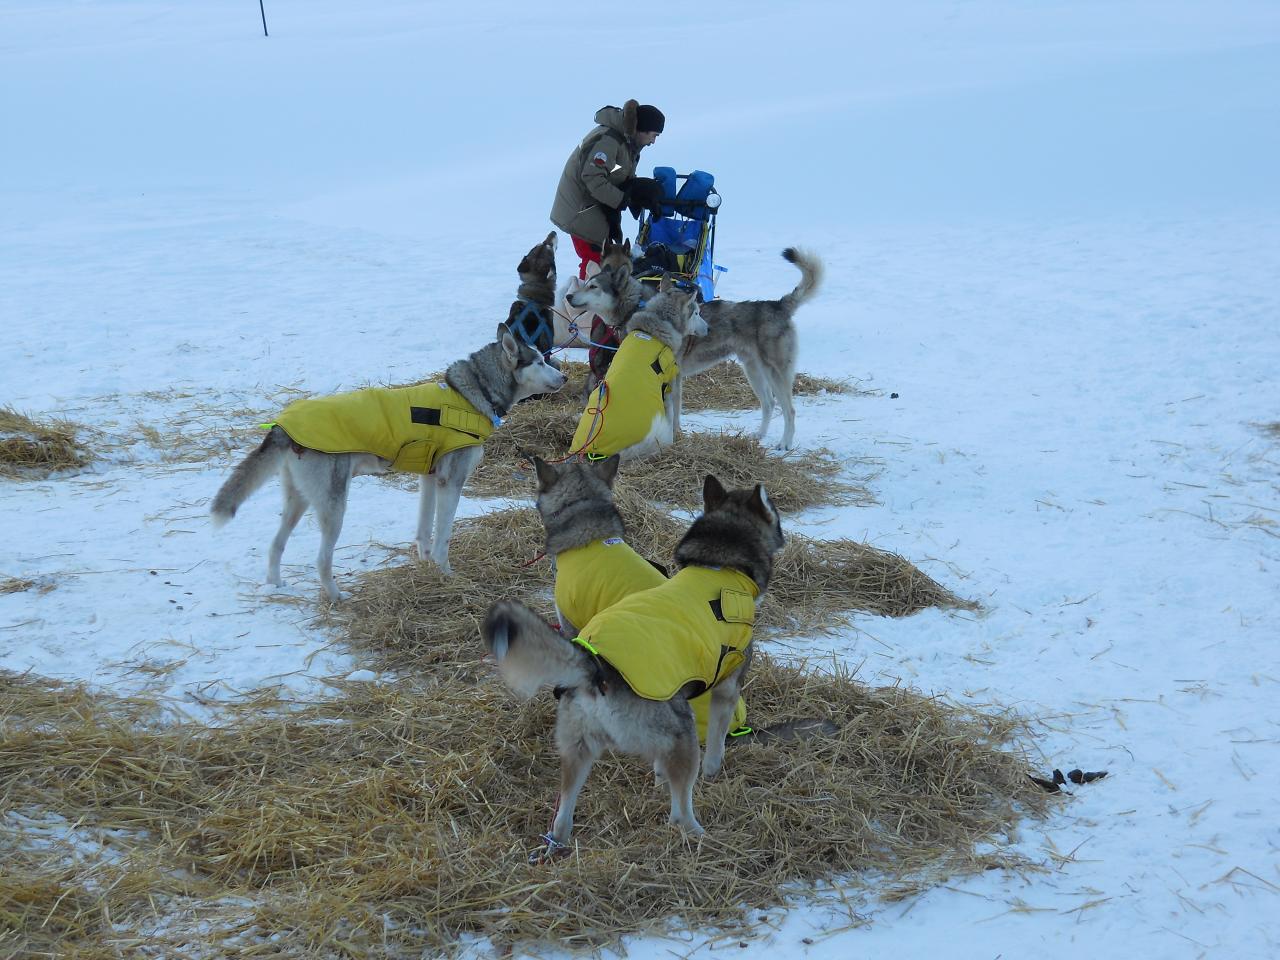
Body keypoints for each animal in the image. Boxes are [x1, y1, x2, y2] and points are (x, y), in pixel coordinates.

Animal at [211, 323, 565, 601]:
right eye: (539, 361)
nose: (562, 376)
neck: (471, 393)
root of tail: (283, 423)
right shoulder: (451, 482)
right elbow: (443, 538)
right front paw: (447, 576)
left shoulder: (429, 478)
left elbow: (424, 532)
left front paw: (425, 567)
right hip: (333, 507)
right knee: (322, 560)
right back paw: (337, 596)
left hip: (298, 500)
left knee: (275, 545)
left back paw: (275, 586)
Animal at [481, 476, 783, 849]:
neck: (720, 566)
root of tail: (596, 666)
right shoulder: (726, 689)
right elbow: (716, 745)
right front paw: (714, 772)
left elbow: (659, 769)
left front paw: (657, 781)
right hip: (682, 737)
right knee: (680, 812)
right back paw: (701, 835)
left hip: (578, 750)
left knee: (563, 816)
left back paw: (560, 841)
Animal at [570, 273, 711, 463]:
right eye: (696, 313)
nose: (708, 328)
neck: (655, 327)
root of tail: (596, 450)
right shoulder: (669, 385)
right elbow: (674, 412)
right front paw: (676, 435)